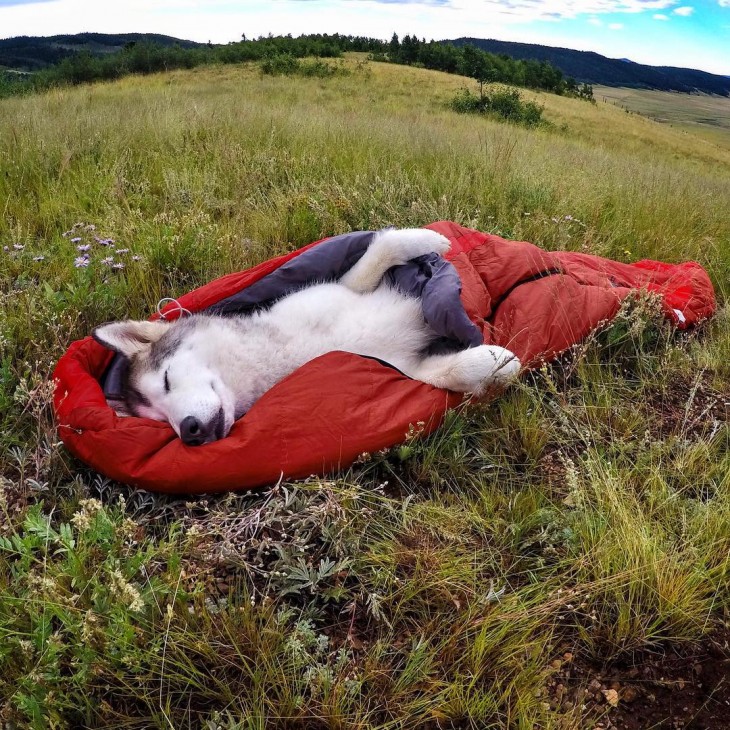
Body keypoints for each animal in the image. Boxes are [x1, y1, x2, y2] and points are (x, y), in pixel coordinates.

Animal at [94, 228, 516, 444]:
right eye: (160, 420)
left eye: (166, 380)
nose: (190, 432)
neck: (284, 352)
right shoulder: (397, 368)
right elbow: (443, 374)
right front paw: (493, 363)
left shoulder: (345, 287)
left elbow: (379, 249)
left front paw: (426, 239)